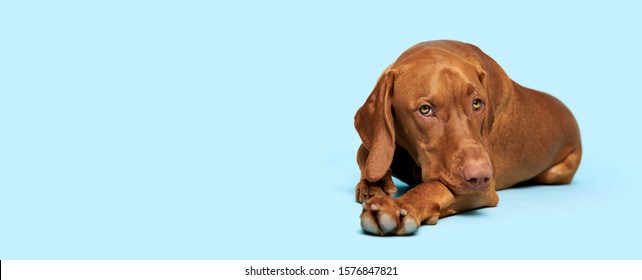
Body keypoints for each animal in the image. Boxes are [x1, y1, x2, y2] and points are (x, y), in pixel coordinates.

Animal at [356, 40, 580, 236]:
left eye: (477, 103)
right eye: (425, 109)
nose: (479, 176)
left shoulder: (484, 190)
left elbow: (433, 187)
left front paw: (399, 206)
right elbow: (366, 153)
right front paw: (374, 183)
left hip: (555, 172)